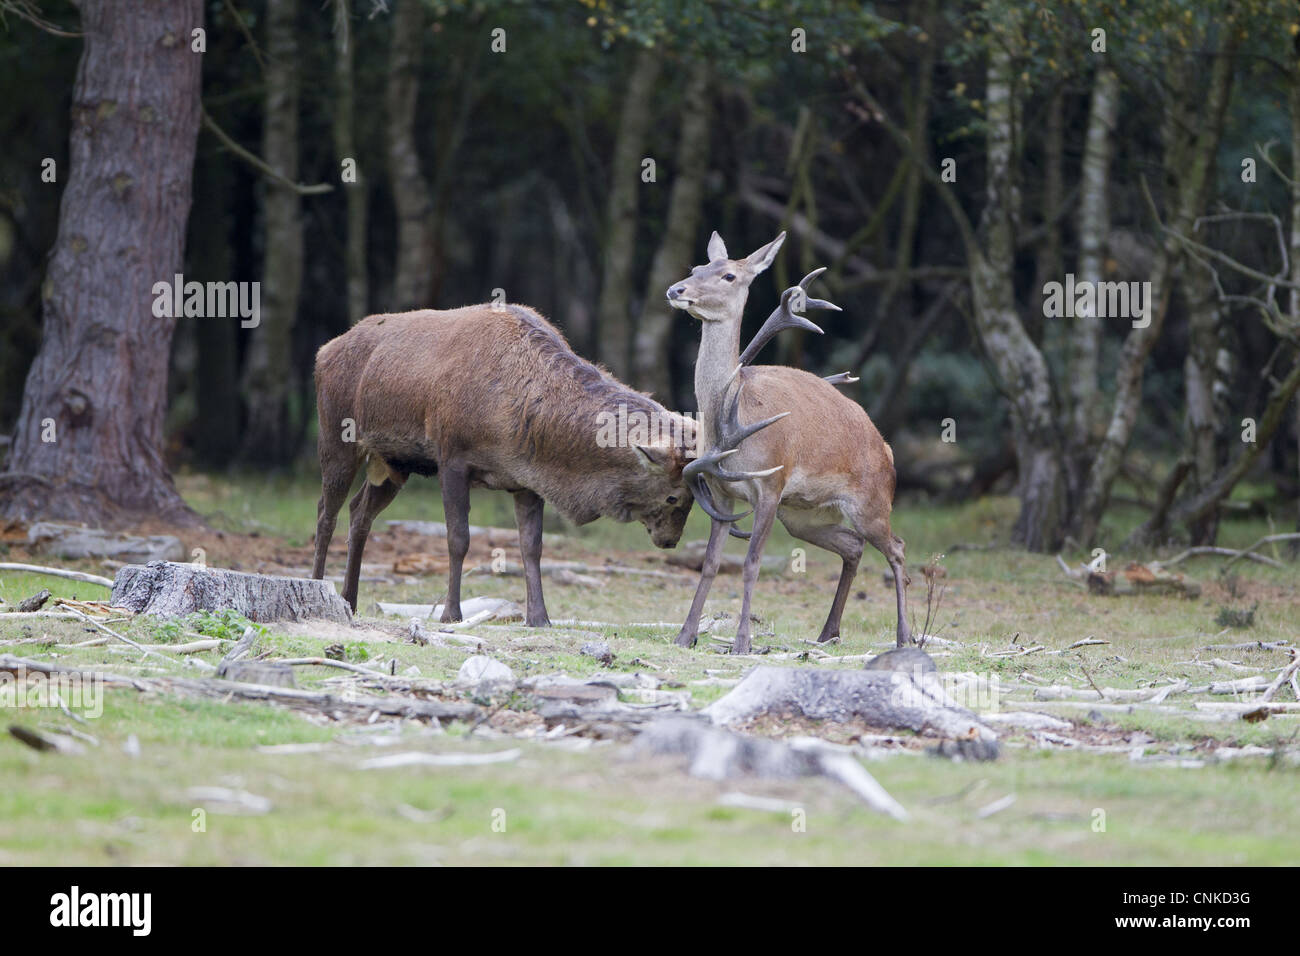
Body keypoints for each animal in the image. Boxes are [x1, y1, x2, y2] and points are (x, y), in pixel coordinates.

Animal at [311, 303, 697, 624]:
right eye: (673, 497)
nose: (670, 540)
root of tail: (323, 351)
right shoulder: (452, 458)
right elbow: (458, 539)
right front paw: (451, 614)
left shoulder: (528, 479)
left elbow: (532, 547)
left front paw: (539, 617)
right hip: (336, 435)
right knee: (326, 512)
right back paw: (317, 586)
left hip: (393, 463)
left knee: (360, 511)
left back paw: (350, 599)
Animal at [666, 230, 912, 655]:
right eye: (697, 267)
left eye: (729, 275)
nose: (676, 289)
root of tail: (886, 447)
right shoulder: (720, 491)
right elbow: (711, 563)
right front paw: (686, 635)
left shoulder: (770, 483)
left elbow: (751, 564)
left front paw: (742, 642)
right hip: (803, 516)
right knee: (852, 545)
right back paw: (828, 632)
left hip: (872, 502)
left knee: (896, 548)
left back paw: (904, 636)